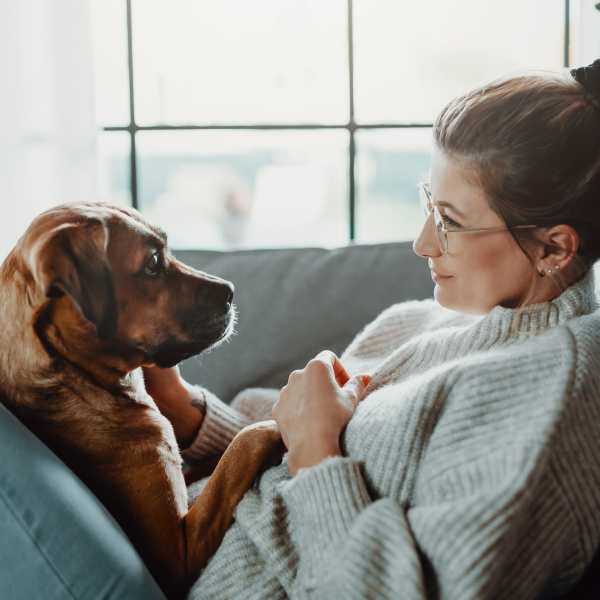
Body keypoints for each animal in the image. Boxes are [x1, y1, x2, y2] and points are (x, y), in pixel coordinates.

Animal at [0, 204, 284, 596]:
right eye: (152, 263)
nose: (231, 290)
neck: (80, 380)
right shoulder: (178, 554)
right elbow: (242, 446)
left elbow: (217, 460)